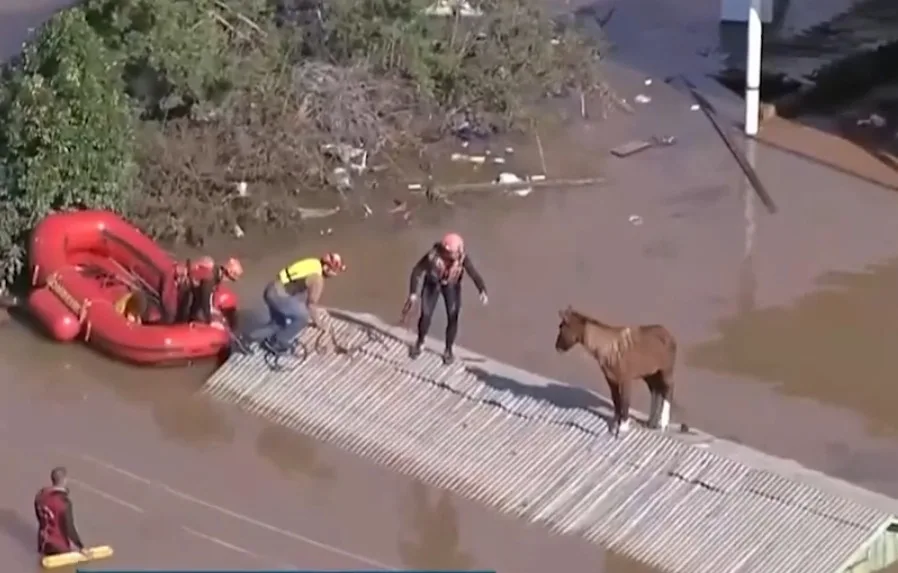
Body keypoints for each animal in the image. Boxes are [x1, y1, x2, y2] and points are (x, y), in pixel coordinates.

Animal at [552, 306, 680, 436]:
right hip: (650, 374)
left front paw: (623, 427)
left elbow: (625, 401)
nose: (558, 347)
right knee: (656, 391)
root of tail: (669, 335)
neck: (611, 348)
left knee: (668, 390)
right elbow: (616, 400)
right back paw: (651, 422)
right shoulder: (611, 380)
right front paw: (614, 425)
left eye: (561, 327)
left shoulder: (625, 380)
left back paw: (663, 424)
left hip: (665, 371)